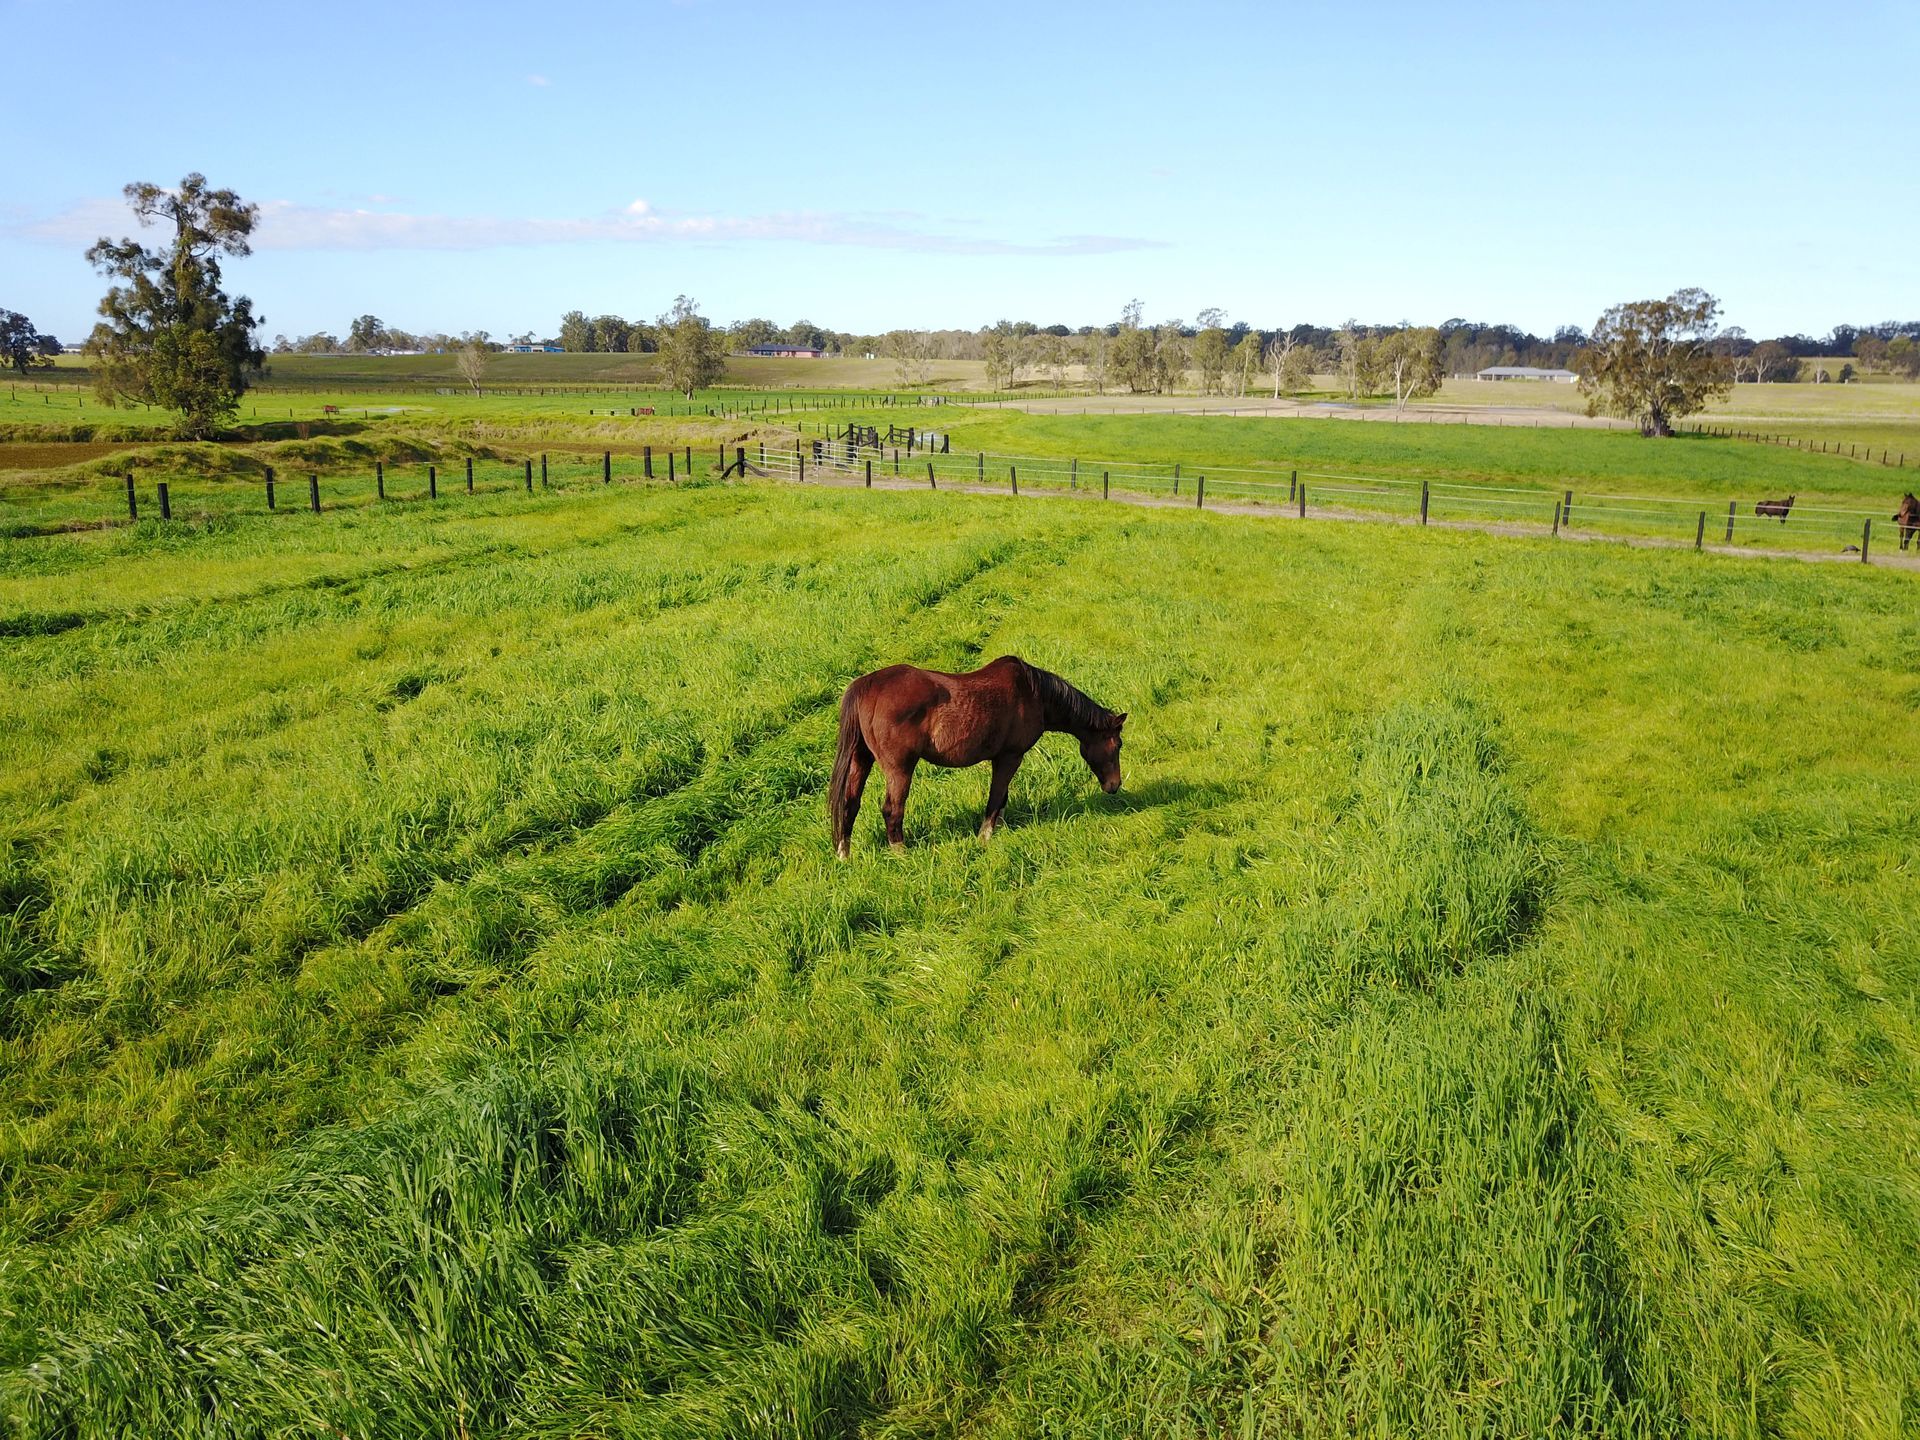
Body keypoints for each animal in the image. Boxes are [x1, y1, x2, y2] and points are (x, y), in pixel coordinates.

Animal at [828, 655, 1126, 857]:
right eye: (1118, 744)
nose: (1115, 786)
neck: (1035, 694)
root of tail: (868, 686)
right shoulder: (1010, 756)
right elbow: (996, 796)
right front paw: (985, 836)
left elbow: (1002, 796)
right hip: (900, 768)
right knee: (892, 809)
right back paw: (901, 853)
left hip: (861, 760)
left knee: (850, 804)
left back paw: (844, 854)